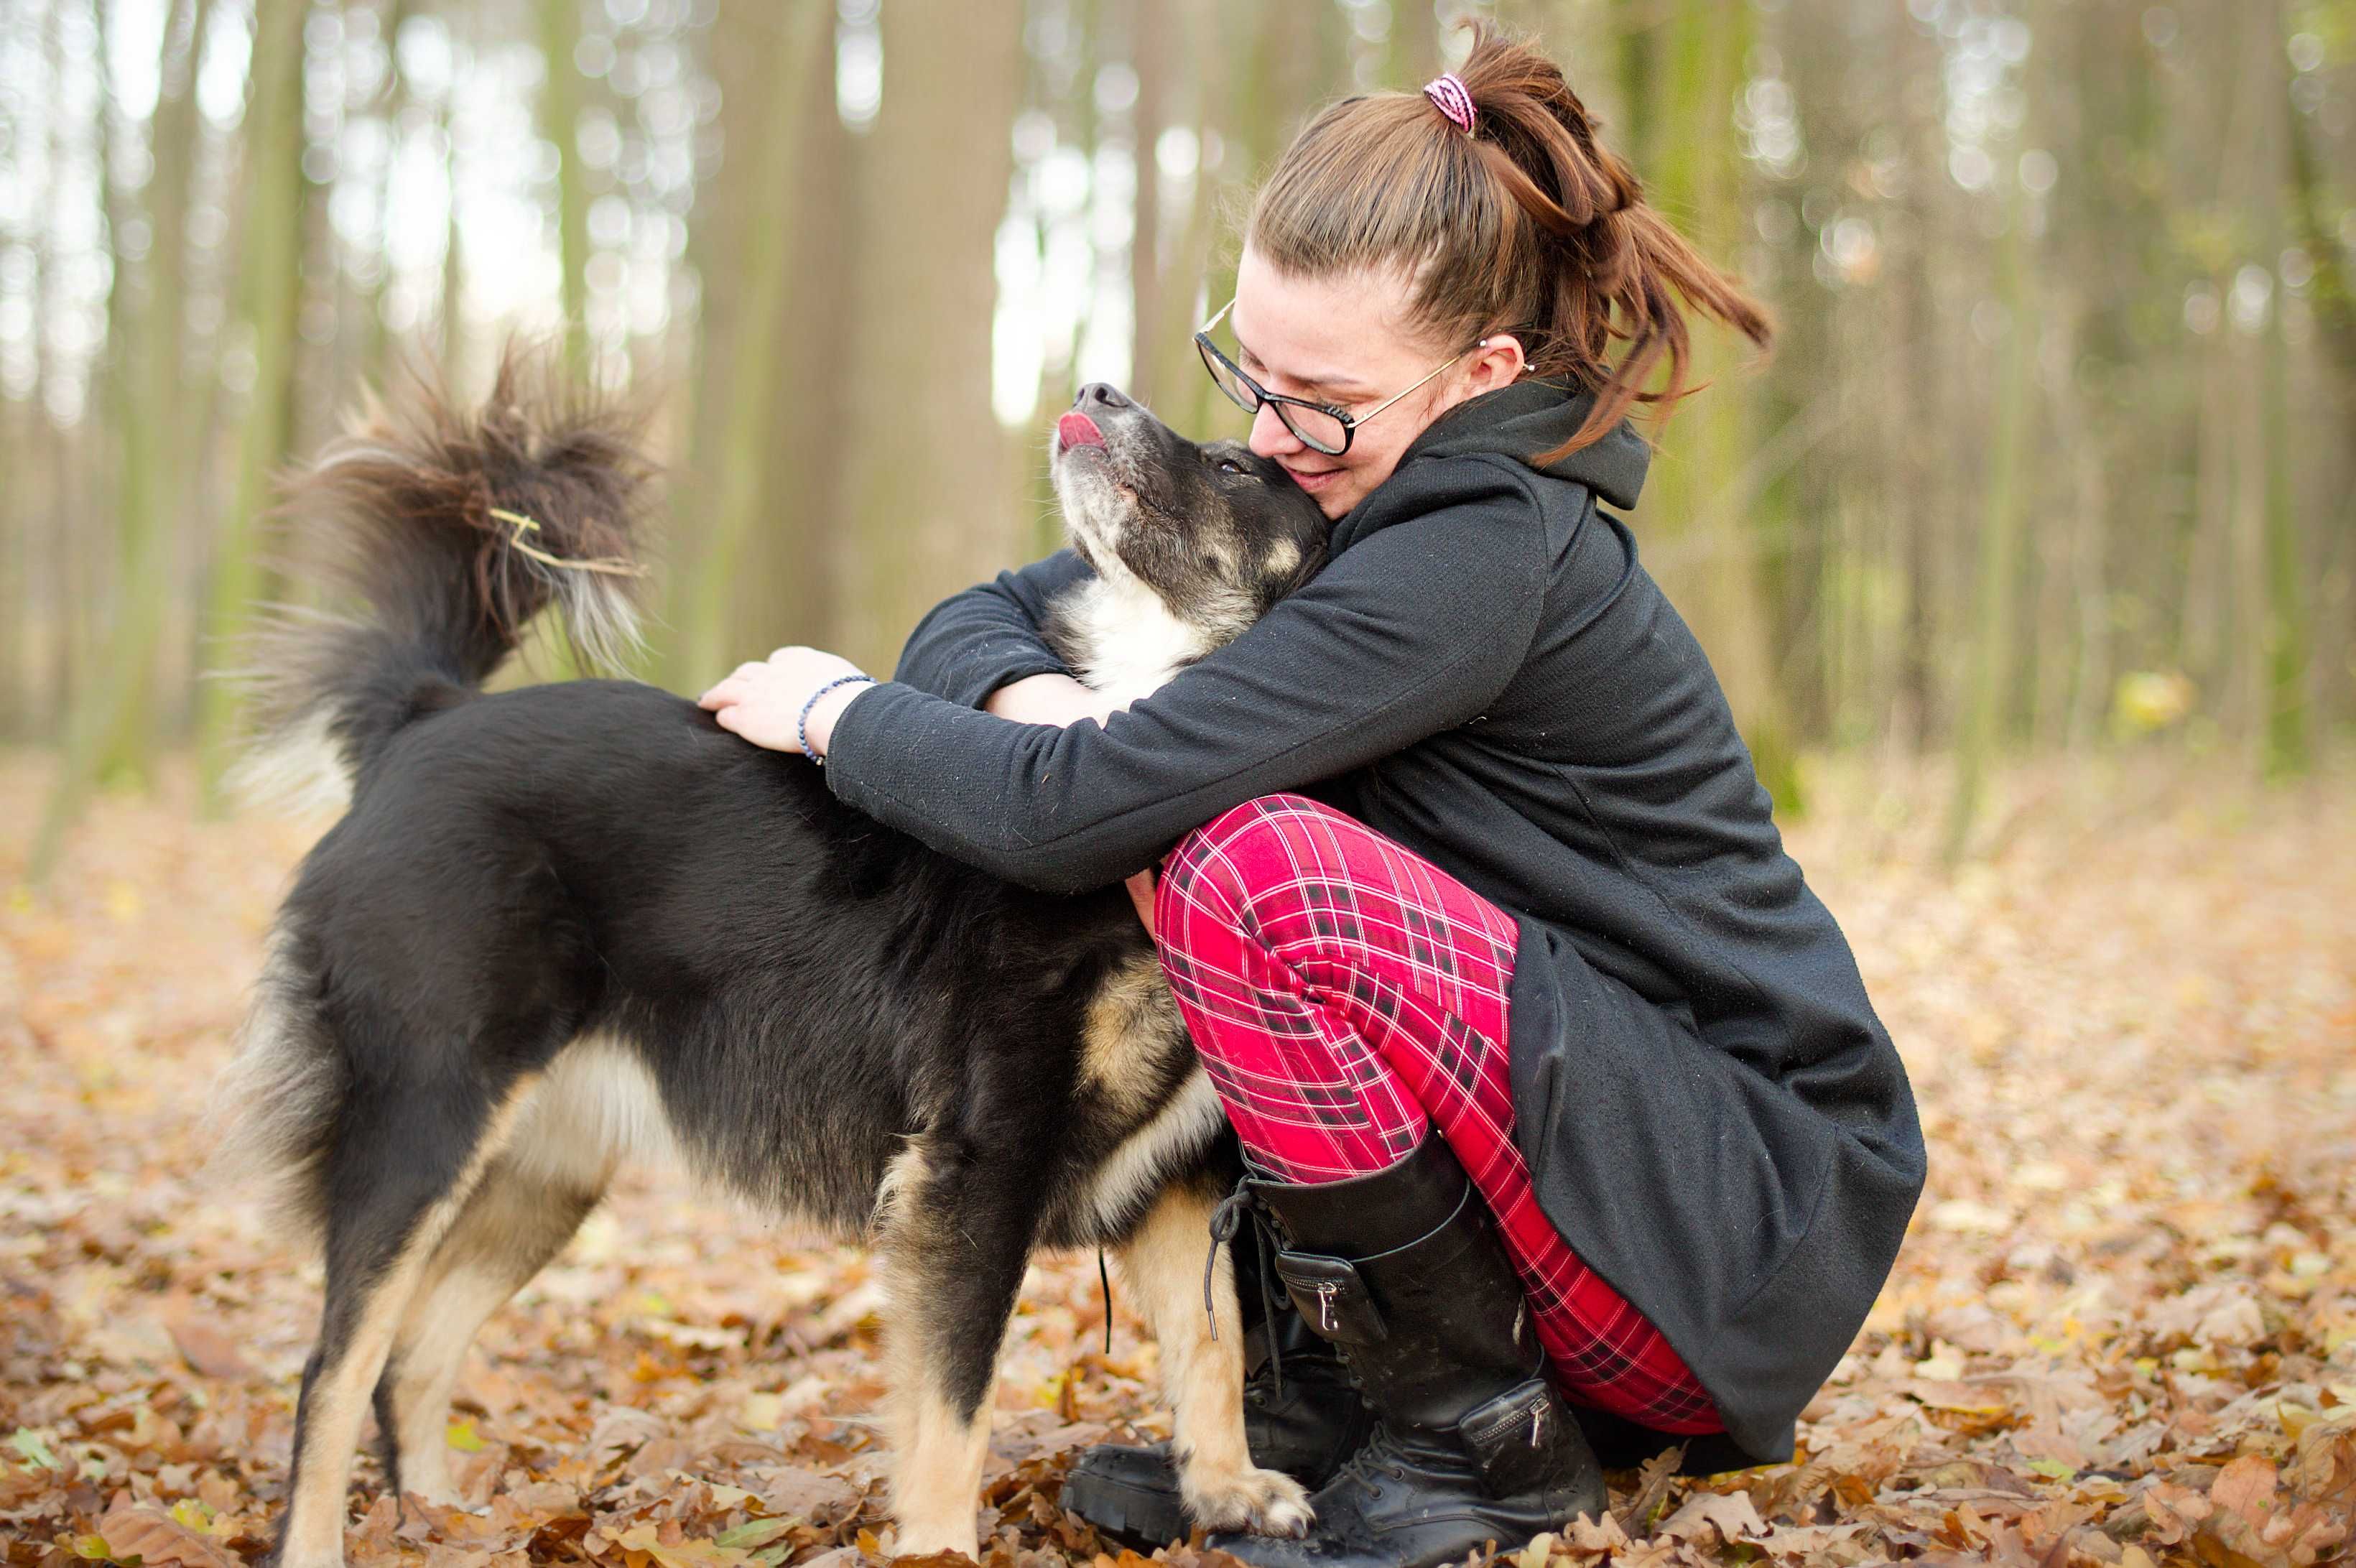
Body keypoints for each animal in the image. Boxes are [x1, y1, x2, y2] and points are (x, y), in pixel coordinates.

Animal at [207, 358, 1328, 1563]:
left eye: (1235, 465)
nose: (1095, 387)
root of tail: (422, 719)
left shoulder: (1181, 1166)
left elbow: (1213, 1340)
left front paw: (1228, 1488)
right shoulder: (978, 1161)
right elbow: (955, 1404)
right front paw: (942, 1544)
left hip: (542, 1164)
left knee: (408, 1356)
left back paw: (443, 1524)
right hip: (426, 1116)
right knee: (334, 1368)